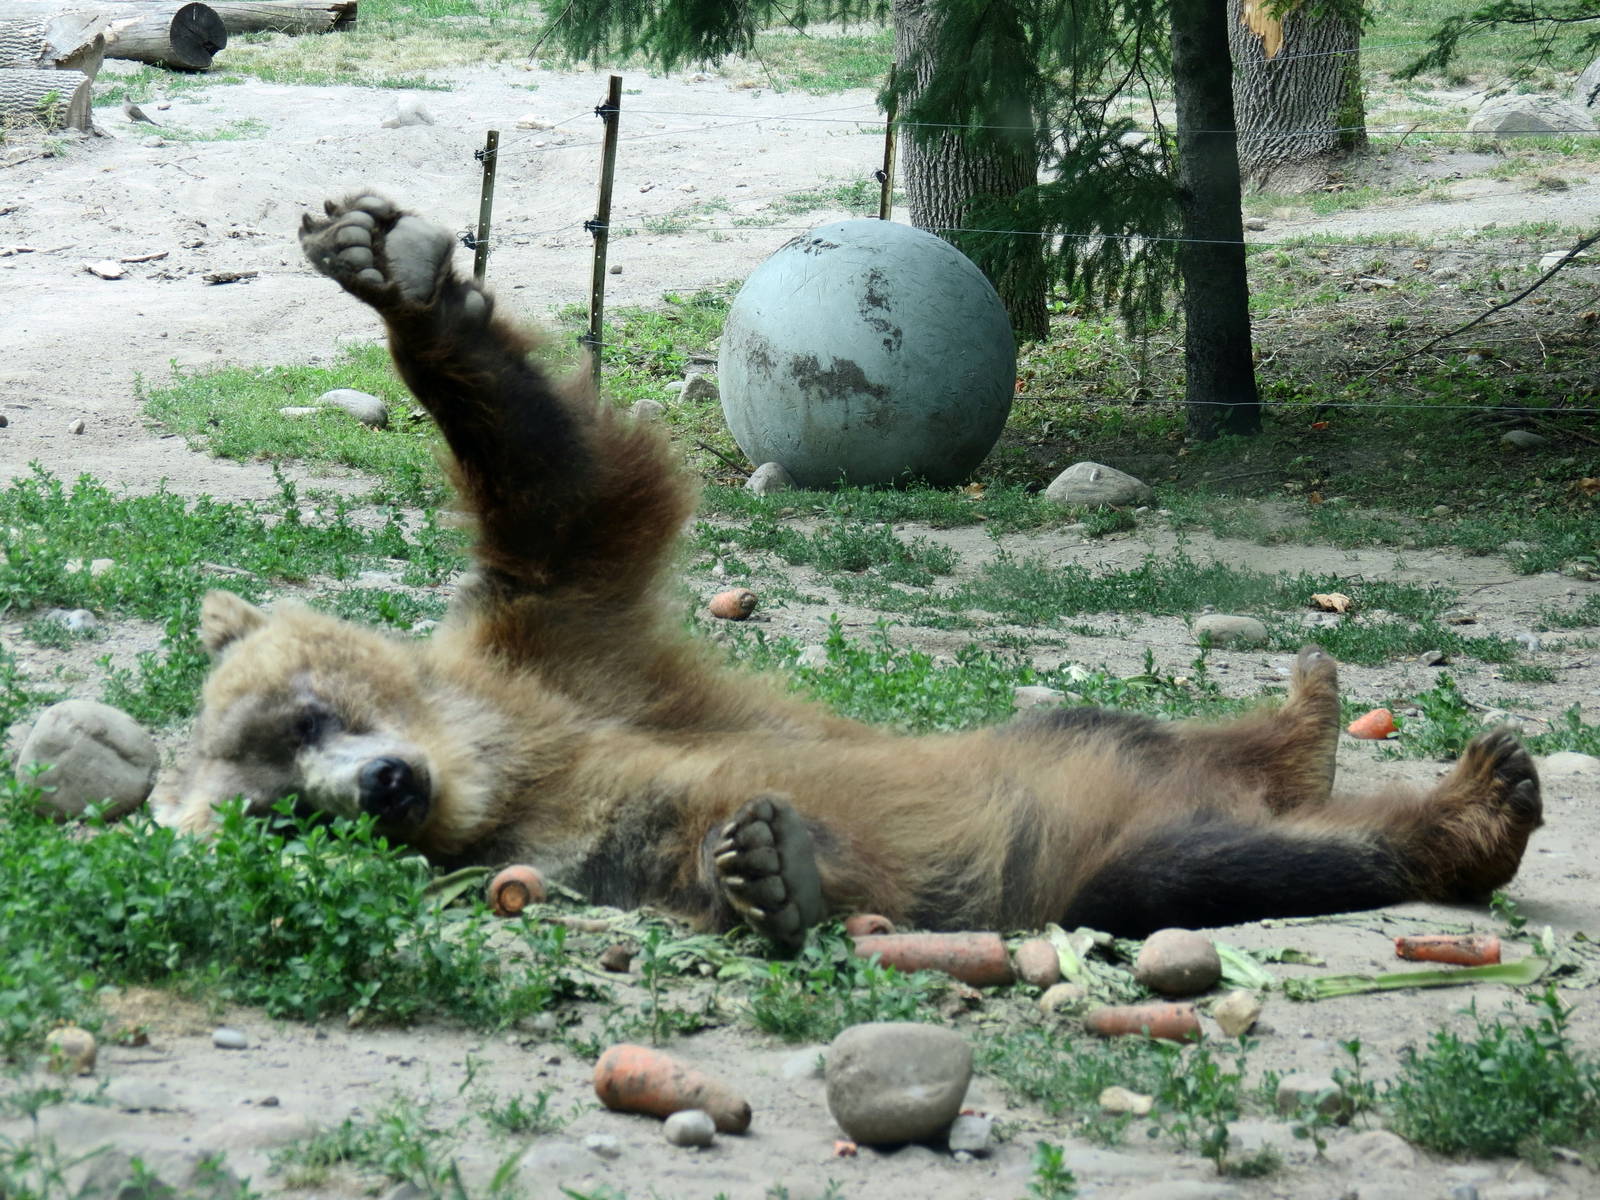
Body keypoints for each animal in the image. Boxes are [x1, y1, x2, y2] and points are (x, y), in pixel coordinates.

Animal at [152, 191, 1545, 947]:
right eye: (281, 817)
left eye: (308, 712)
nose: (382, 786)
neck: (498, 756)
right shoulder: (574, 839)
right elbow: (717, 847)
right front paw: (772, 868)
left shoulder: (570, 653)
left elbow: (567, 502)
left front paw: (388, 268)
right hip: (1097, 858)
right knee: (1211, 868)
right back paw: (1470, 805)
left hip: (1084, 735)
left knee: (1147, 734)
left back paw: (1314, 718)